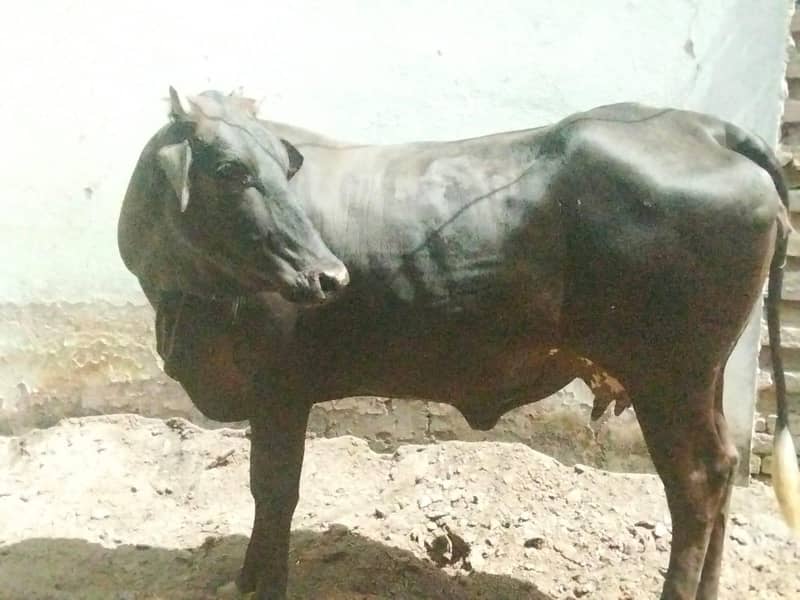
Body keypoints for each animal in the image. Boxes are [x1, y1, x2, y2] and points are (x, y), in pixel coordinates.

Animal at [118, 89, 800, 600]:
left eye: (282, 168)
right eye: (230, 170)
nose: (330, 277)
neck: (182, 296)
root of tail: (701, 127)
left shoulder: (281, 390)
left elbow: (276, 491)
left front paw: (265, 583)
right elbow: (266, 493)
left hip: (668, 377)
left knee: (697, 482)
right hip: (705, 375)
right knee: (725, 469)